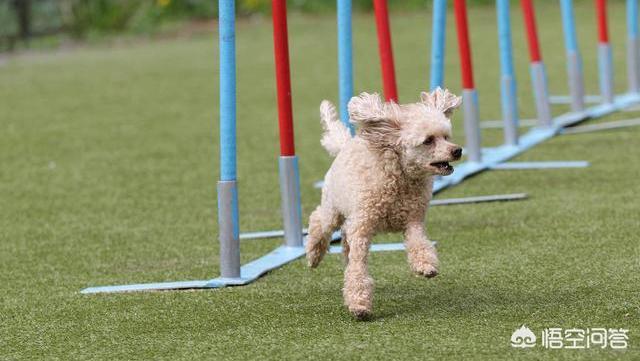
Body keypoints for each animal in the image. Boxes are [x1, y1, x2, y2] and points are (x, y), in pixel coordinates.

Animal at [306, 87, 462, 318]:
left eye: (445, 136)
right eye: (428, 140)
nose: (457, 150)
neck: (398, 176)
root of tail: (345, 145)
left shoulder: (413, 219)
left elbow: (419, 244)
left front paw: (426, 265)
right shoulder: (363, 227)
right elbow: (358, 268)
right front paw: (359, 304)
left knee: (344, 241)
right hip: (333, 208)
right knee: (318, 222)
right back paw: (314, 255)